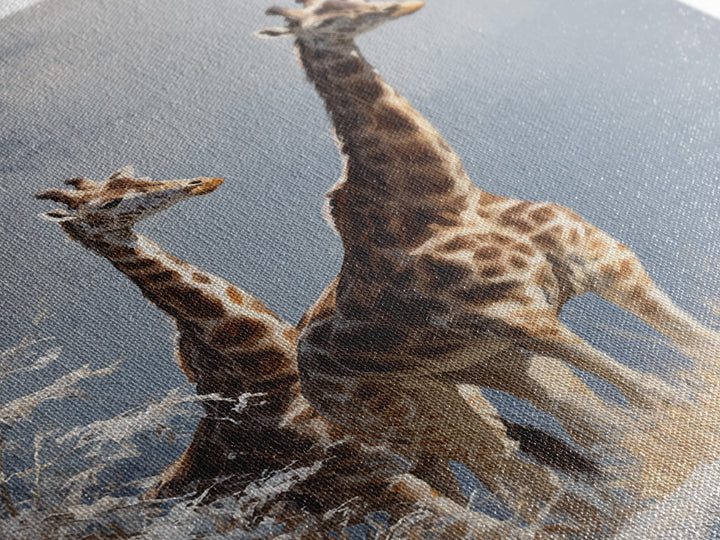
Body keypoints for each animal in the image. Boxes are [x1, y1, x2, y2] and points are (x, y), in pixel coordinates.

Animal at [37, 167, 596, 536]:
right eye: (107, 205)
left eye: (134, 178)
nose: (198, 183)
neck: (258, 364)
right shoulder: (371, 478)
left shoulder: (392, 468)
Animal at [259, 0, 720, 524]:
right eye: (323, 17)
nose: (403, 7)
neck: (448, 202)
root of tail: (306, 378)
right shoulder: (521, 316)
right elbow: (651, 390)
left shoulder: (605, 265)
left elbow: (689, 342)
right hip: (405, 420)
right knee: (497, 483)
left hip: (473, 383)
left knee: (543, 456)